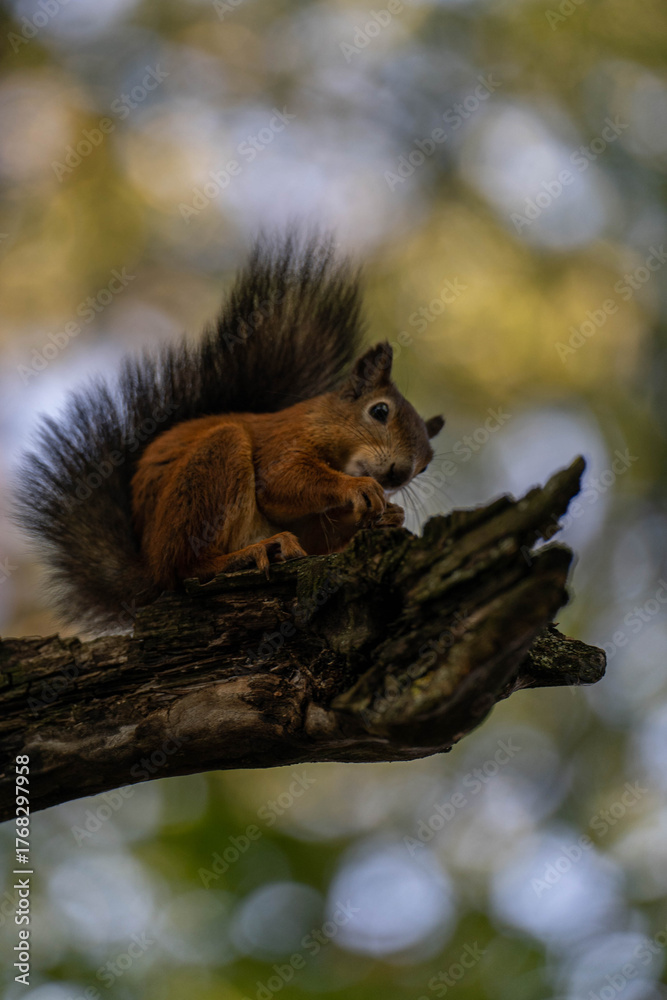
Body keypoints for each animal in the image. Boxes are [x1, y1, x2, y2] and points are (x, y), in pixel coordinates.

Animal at [17, 234, 444, 633]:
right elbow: (282, 482)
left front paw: (389, 517)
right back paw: (254, 551)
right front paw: (357, 490)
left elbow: (315, 537)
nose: (398, 475)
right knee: (187, 568)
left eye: (426, 466)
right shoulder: (283, 442)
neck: (325, 425)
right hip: (215, 461)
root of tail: (150, 566)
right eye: (379, 411)